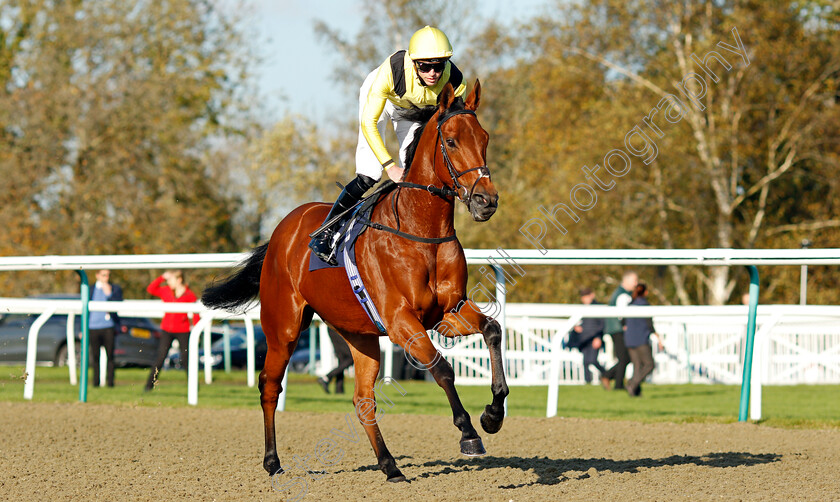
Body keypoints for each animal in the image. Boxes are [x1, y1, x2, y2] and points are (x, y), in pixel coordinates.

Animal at [203, 81, 506, 482]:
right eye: (452, 141)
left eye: (484, 138)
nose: (487, 200)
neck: (421, 231)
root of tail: (285, 227)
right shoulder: (400, 321)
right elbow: (441, 368)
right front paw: (469, 432)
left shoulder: (448, 311)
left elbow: (492, 330)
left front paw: (493, 414)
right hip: (283, 327)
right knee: (270, 385)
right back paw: (272, 461)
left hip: (358, 335)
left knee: (363, 399)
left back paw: (390, 466)